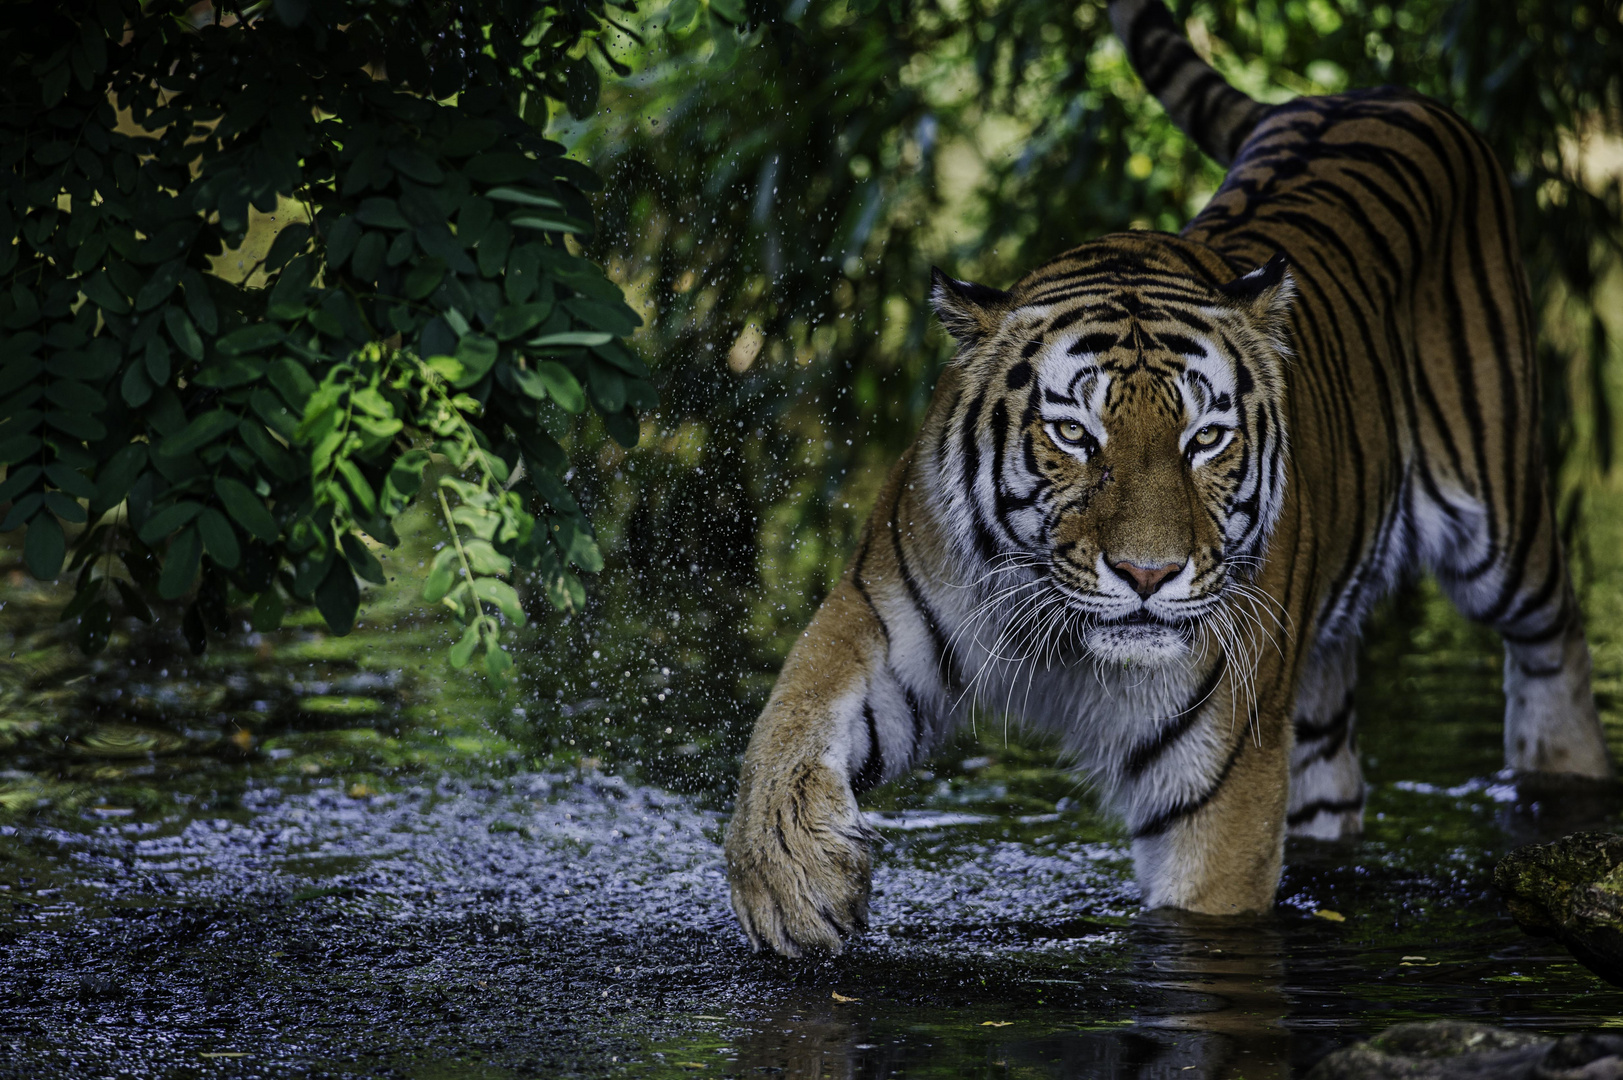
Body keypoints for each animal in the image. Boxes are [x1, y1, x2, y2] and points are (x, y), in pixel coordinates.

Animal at [723, 0, 1610, 954]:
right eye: (1073, 434)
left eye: (1205, 438)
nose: (1147, 576)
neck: (1068, 645)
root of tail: (1360, 91)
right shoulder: (885, 608)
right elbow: (792, 714)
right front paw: (791, 879)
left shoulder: (1217, 779)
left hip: (1501, 520)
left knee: (1553, 639)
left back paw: (1564, 785)